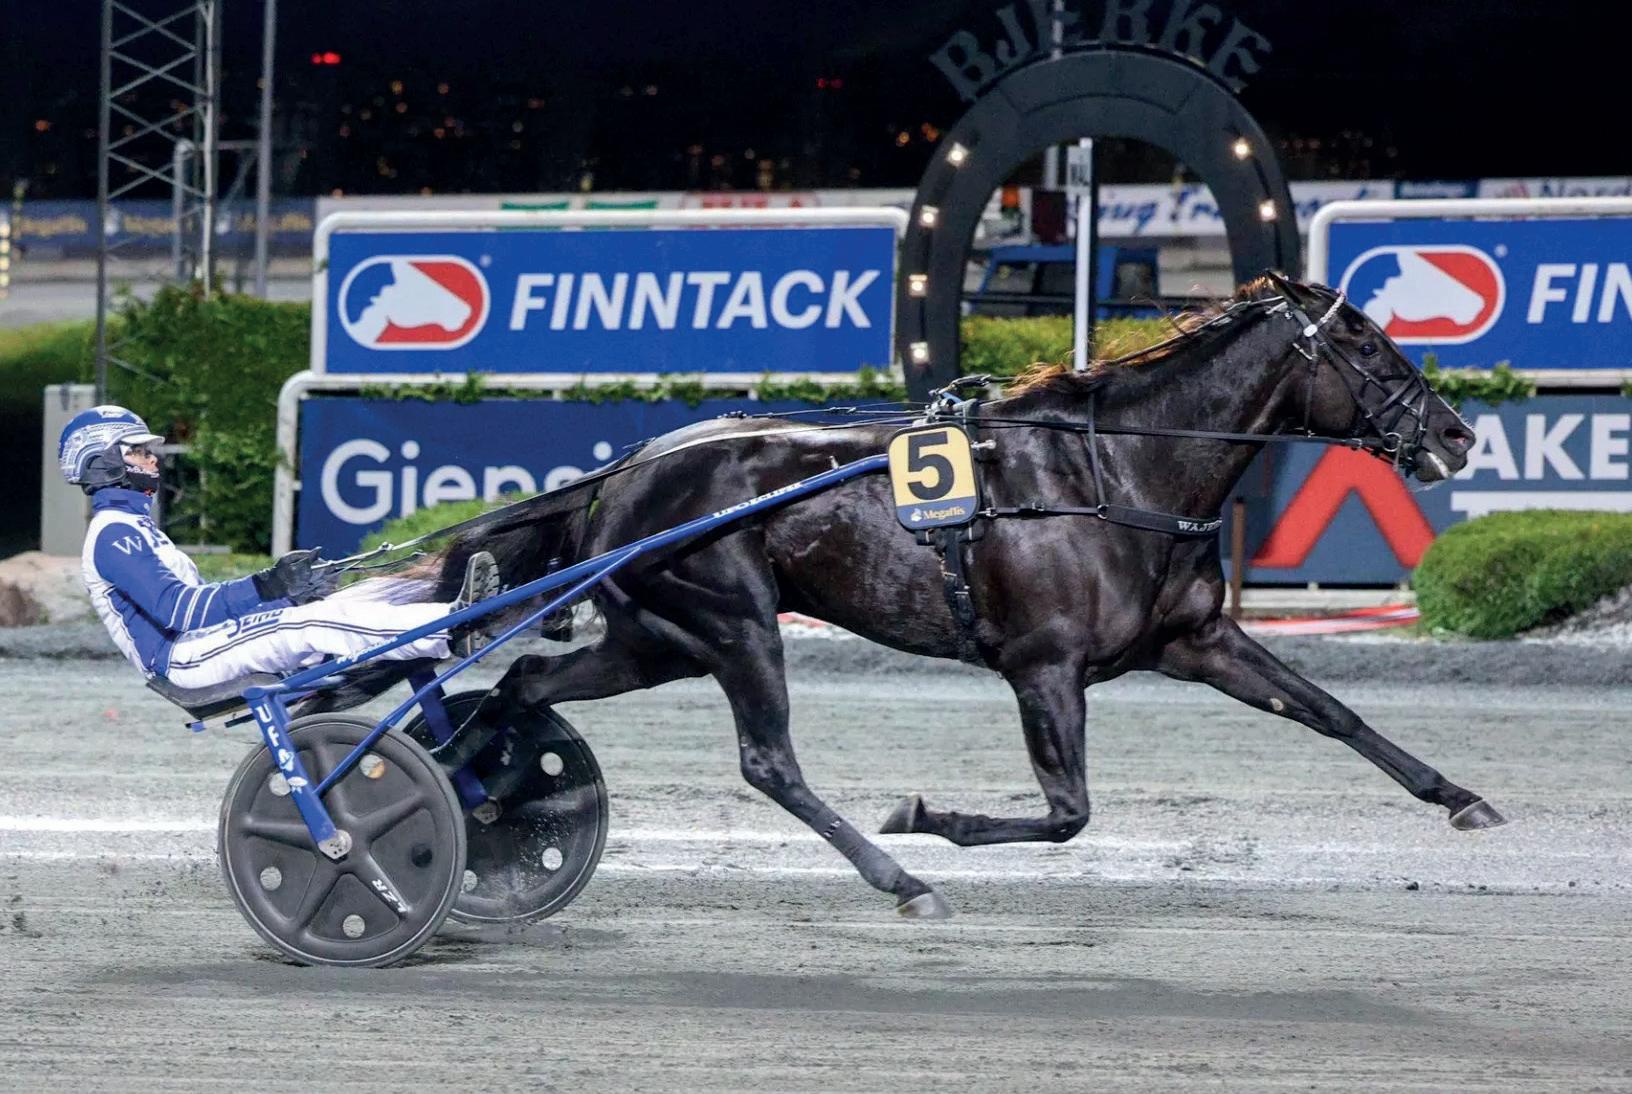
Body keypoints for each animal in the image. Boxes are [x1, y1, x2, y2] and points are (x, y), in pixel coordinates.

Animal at [352, 273, 1503, 919]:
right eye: (1365, 345)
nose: (1457, 434)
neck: (1118, 470)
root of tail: (626, 469)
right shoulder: (1044, 667)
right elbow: (1069, 813)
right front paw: (922, 818)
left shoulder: (1197, 639)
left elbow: (1329, 710)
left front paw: (1461, 797)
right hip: (733, 619)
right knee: (768, 760)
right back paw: (899, 878)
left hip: (656, 637)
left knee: (526, 684)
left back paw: (479, 790)